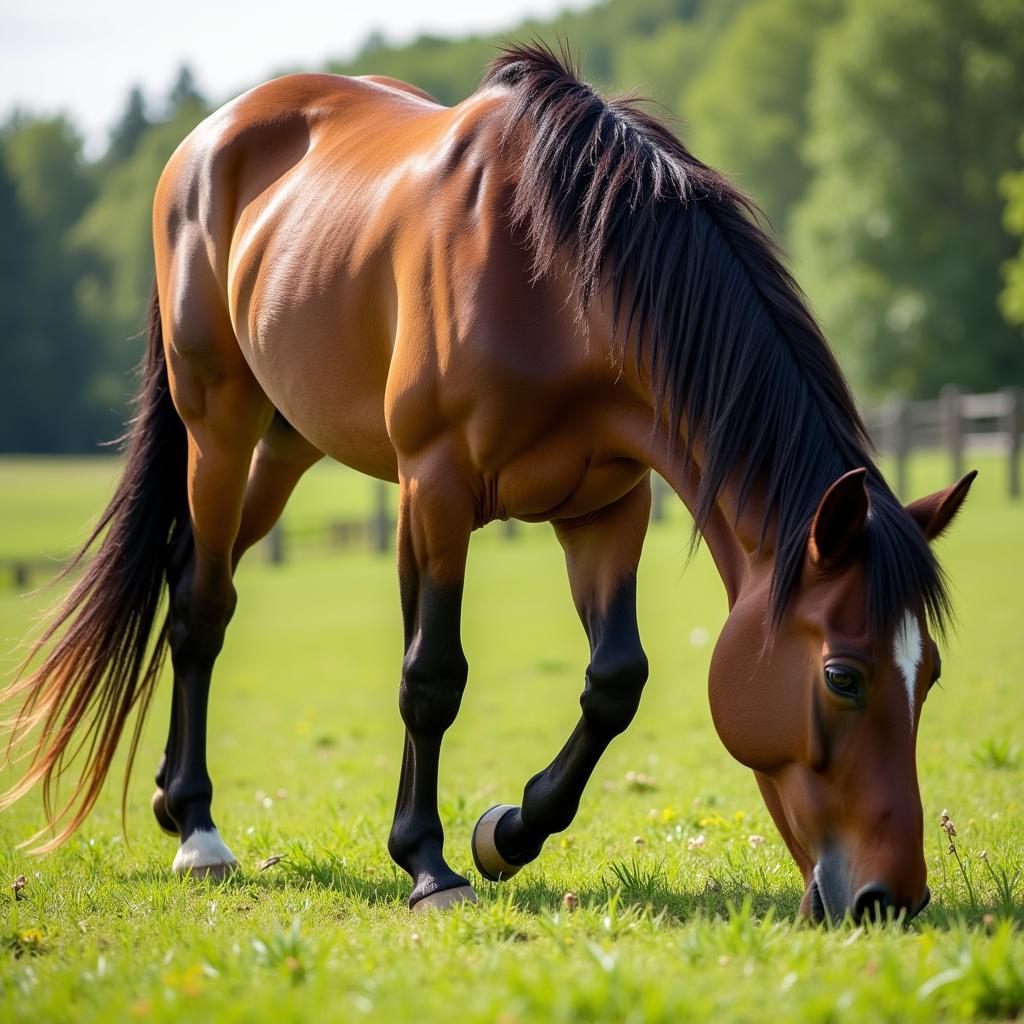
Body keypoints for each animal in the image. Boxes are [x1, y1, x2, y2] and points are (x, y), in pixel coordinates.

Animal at [2, 44, 974, 921]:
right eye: (844, 677)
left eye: (927, 677)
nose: (892, 899)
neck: (557, 280)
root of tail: (208, 139)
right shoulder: (435, 489)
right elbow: (433, 675)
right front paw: (429, 865)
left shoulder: (607, 506)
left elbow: (616, 680)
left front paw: (506, 832)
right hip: (219, 425)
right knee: (202, 606)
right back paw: (200, 833)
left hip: (289, 445)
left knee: (193, 581)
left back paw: (174, 800)